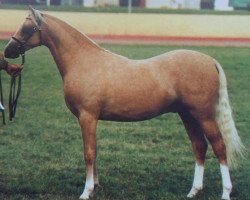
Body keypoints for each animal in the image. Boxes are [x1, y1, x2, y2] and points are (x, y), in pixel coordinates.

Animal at [4, 7, 245, 200]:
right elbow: (94, 151)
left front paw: (86, 192)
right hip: (187, 115)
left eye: (28, 26)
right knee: (199, 146)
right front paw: (95, 186)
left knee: (219, 147)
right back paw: (194, 191)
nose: (8, 51)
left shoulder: (87, 116)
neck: (83, 61)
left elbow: (88, 152)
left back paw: (225, 193)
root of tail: (209, 60)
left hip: (204, 115)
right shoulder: (91, 119)